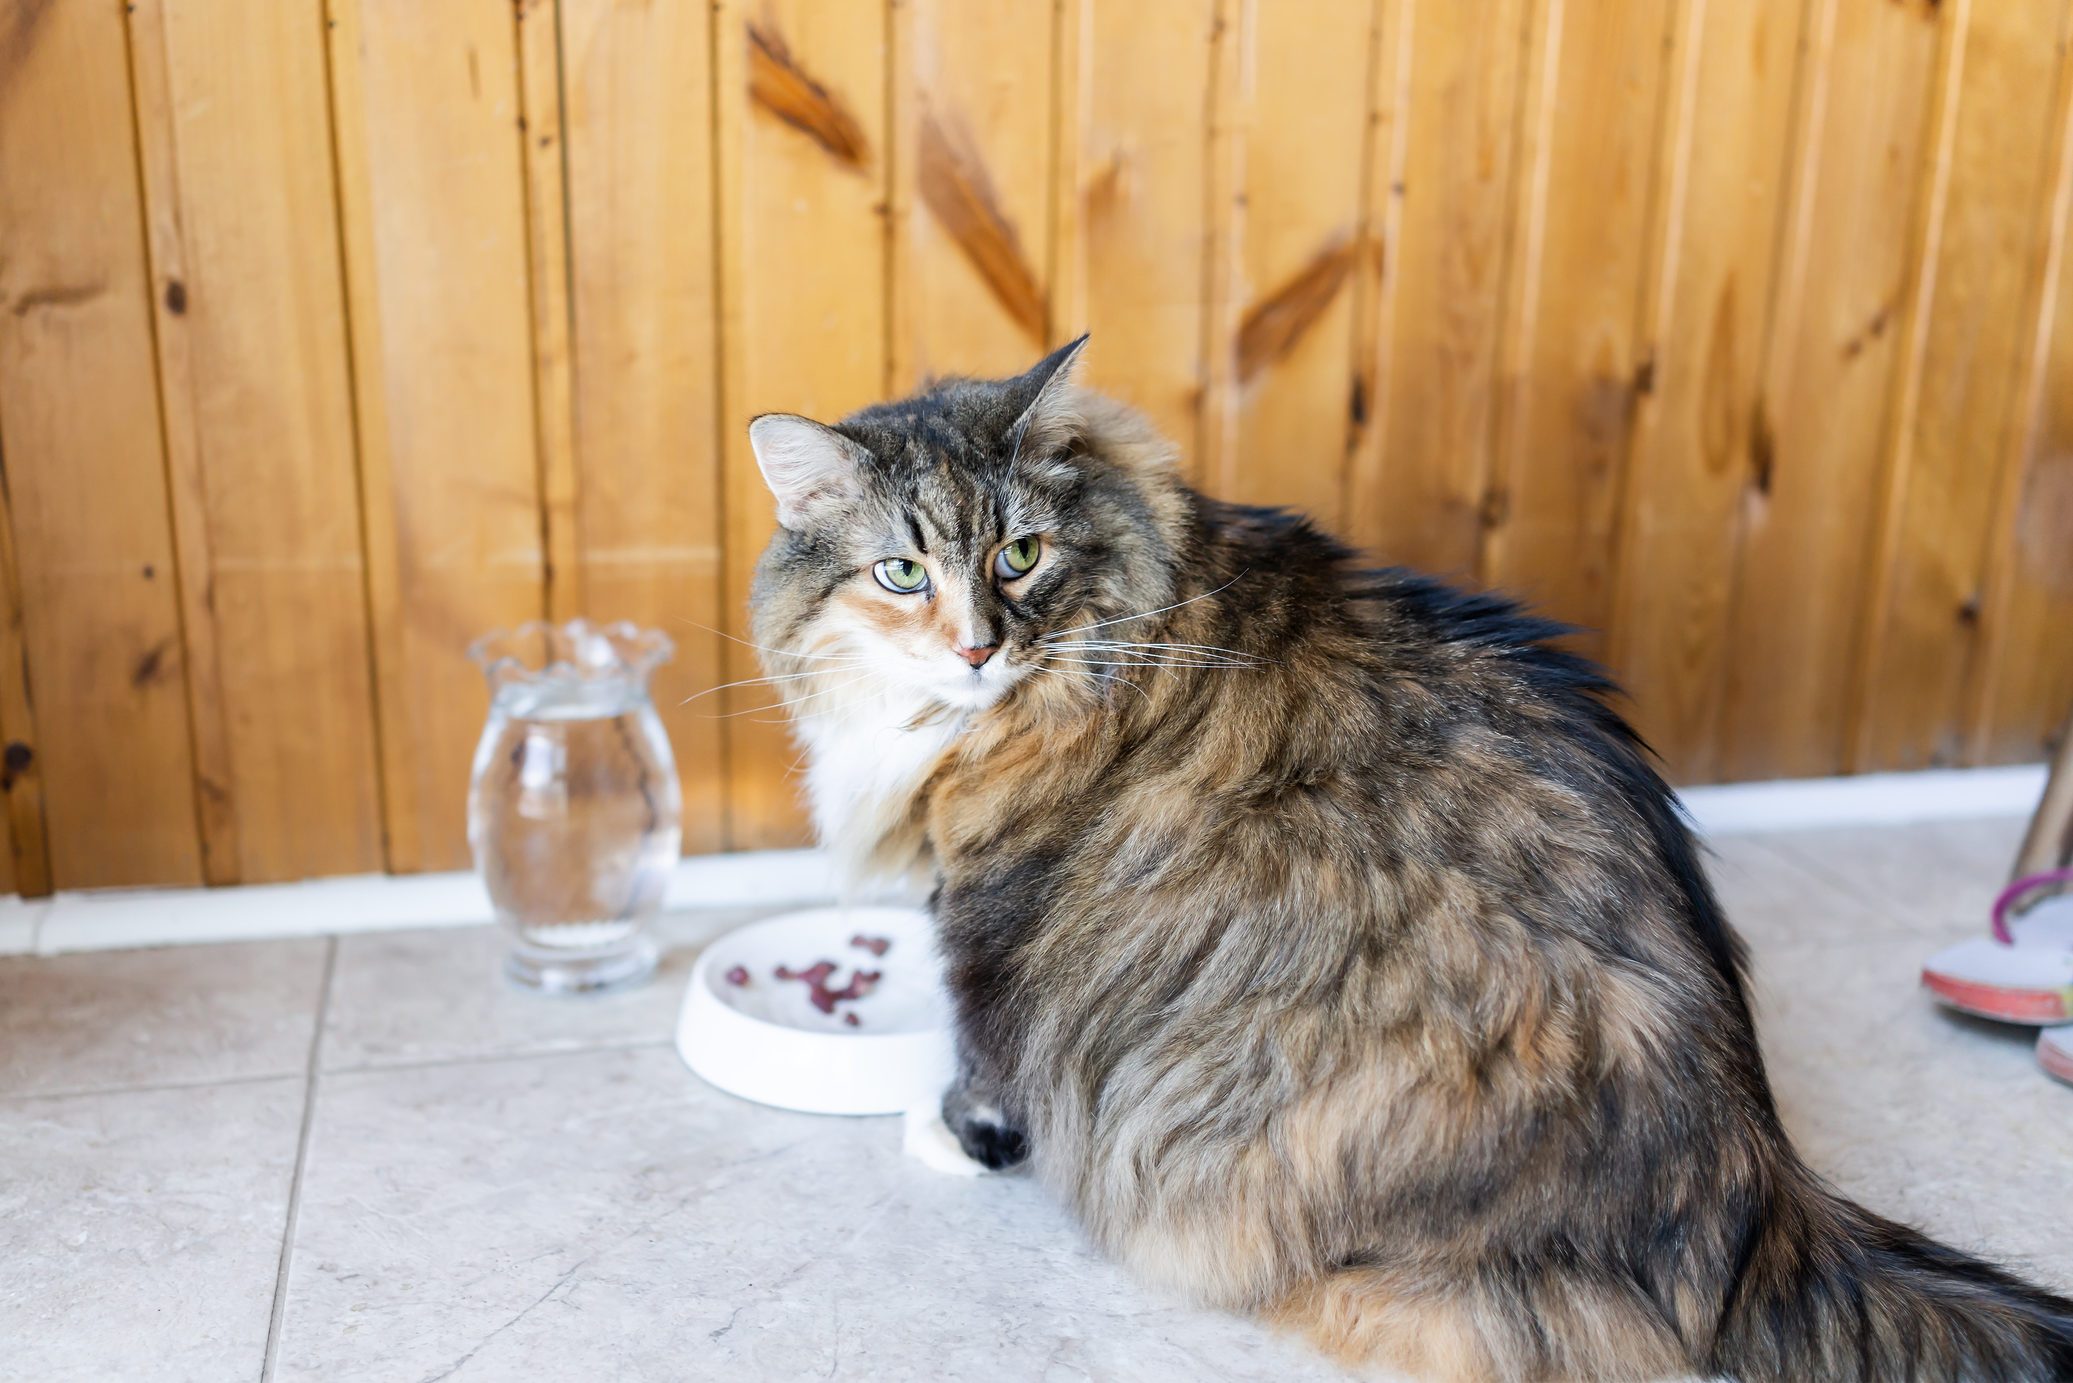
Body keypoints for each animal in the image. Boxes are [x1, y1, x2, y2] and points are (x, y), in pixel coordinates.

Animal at [746, 337, 2073, 1383]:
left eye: (1019, 555)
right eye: (901, 572)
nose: (977, 649)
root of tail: (1751, 1182)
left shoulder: (988, 910)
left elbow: (985, 1055)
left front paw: (952, 1138)